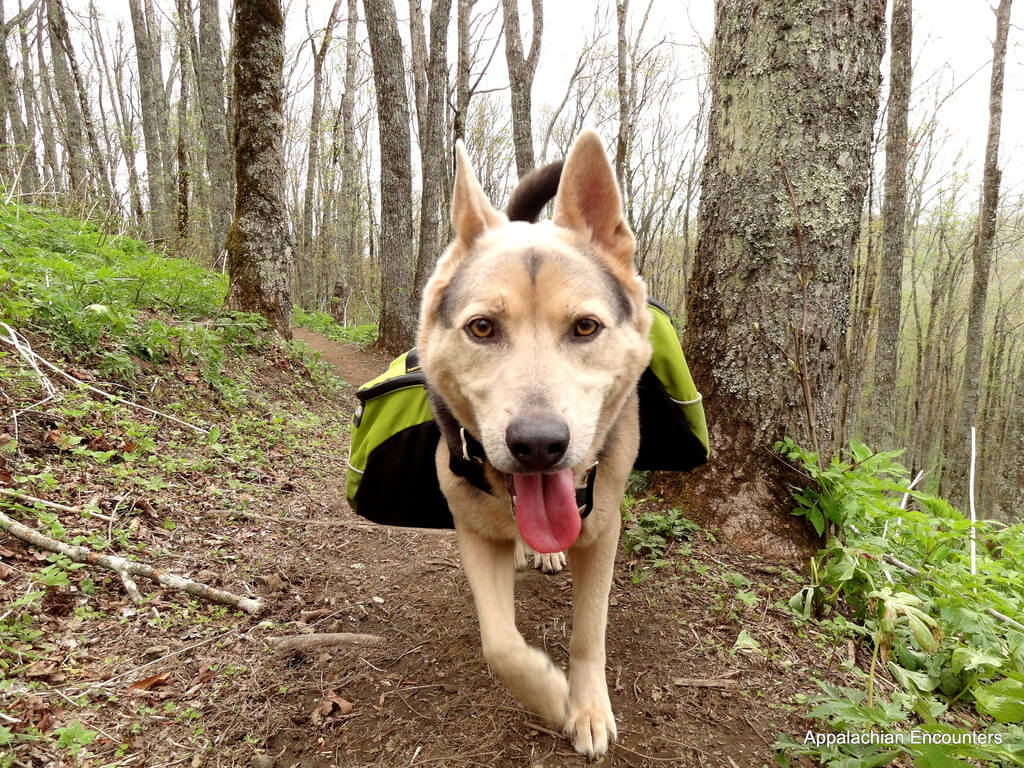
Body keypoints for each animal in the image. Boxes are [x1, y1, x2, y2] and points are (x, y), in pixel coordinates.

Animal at [413, 129, 647, 761]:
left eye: (586, 327)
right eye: (482, 328)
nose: (539, 445)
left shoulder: (604, 527)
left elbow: (588, 632)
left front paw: (587, 708)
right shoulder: (473, 531)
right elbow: (500, 645)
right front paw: (549, 693)